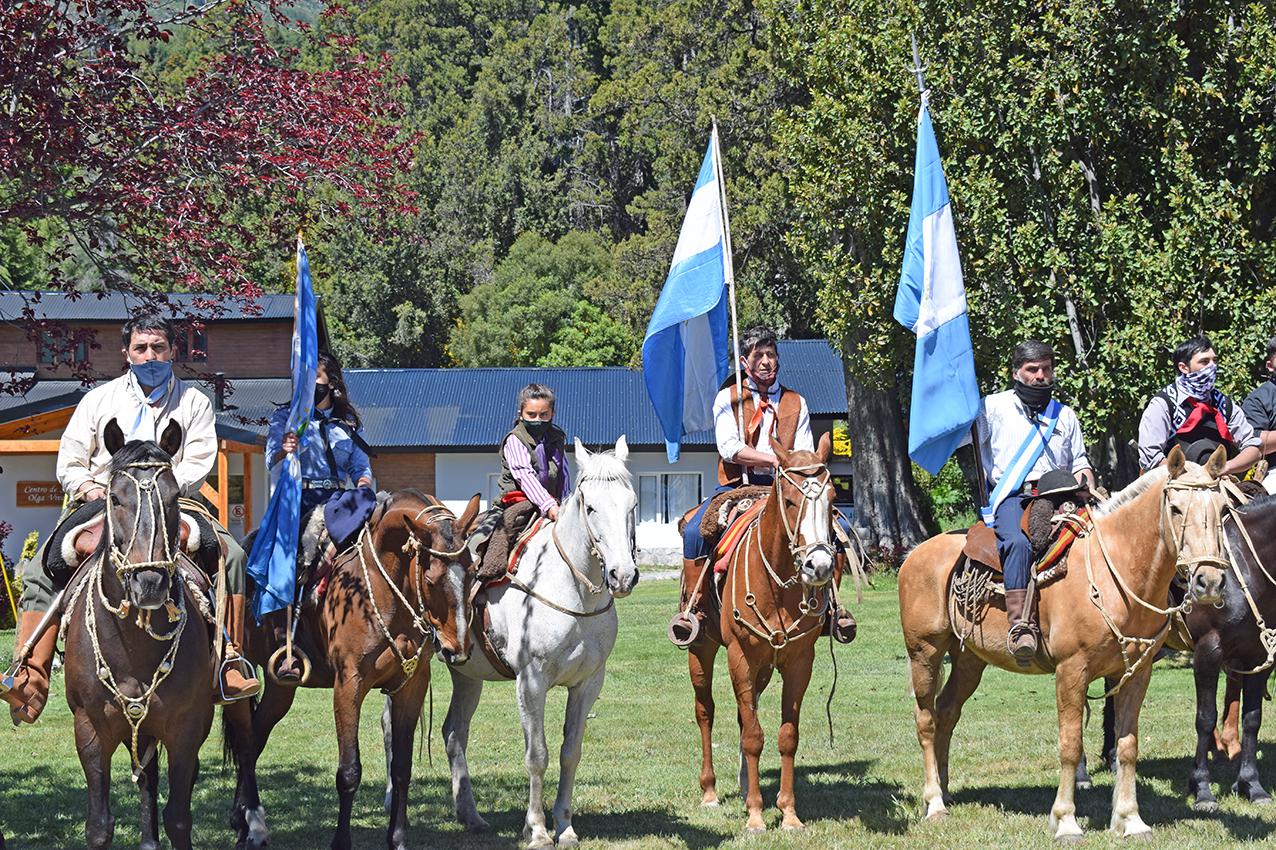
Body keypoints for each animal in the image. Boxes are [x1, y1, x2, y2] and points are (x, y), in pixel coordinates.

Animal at [62, 418, 214, 847]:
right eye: (114, 497)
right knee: (146, 777)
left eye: (175, 496)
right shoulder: (89, 729)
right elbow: (99, 825)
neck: (134, 648)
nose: (149, 583)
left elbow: (178, 817)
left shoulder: (186, 727)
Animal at [224, 487, 479, 847]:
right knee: (246, 744)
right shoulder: (349, 684)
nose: (457, 649)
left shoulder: (412, 685)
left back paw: (241, 818)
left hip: (280, 687)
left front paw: (397, 839)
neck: (382, 588)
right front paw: (341, 841)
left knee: (256, 738)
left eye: (472, 572)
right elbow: (348, 771)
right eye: (431, 578)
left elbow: (401, 768)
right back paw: (252, 827)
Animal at [380, 433, 635, 842]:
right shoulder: (531, 681)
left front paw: (565, 825)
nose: (622, 575)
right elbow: (537, 755)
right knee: (391, 726)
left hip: (465, 673)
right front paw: (538, 830)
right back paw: (392, 800)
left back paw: (470, 814)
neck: (571, 590)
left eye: (632, 505)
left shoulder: (588, 682)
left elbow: (570, 752)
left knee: (454, 733)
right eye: (591, 507)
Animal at [689, 436, 837, 827]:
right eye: (790, 500)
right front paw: (756, 816)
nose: (819, 566)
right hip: (701, 650)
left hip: (764, 669)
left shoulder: (799, 662)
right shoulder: (739, 657)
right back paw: (710, 792)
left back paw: (743, 788)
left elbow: (787, 735)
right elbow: (754, 736)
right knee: (705, 711)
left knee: (745, 712)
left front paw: (788, 813)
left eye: (832, 500)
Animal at [898, 446, 1235, 837]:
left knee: (947, 711)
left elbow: (1127, 746)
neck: (1115, 572)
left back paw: (945, 790)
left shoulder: (1137, 674)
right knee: (926, 719)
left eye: (1222, 510)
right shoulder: (1071, 670)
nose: (1209, 581)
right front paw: (1066, 820)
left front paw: (1130, 819)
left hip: (969, 659)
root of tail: (915, 554)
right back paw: (934, 802)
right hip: (925, 651)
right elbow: (1070, 745)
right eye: (1177, 508)